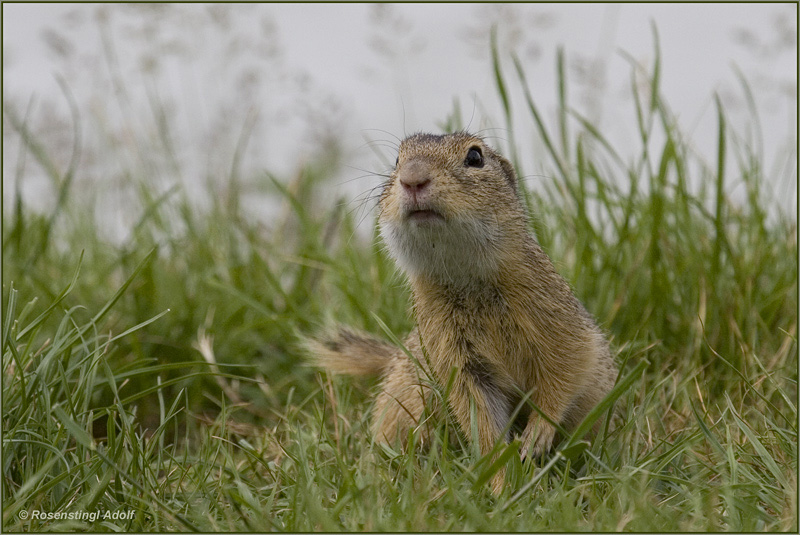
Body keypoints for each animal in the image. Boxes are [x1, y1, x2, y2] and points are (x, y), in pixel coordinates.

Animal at [304, 132, 616, 492]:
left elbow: (565, 371)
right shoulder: (456, 356)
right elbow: (479, 416)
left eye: (475, 157)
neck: (466, 278)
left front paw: (536, 434)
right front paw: (502, 483)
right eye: (396, 160)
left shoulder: (556, 318)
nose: (412, 178)